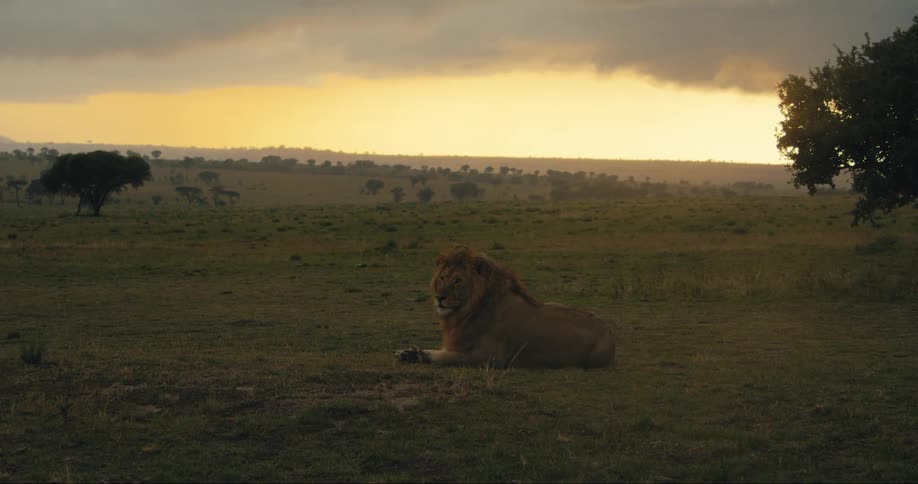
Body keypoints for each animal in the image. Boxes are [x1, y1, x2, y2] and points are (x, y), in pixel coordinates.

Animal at [395, 246, 615, 368]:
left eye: (458, 281)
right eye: (442, 278)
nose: (439, 297)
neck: (469, 310)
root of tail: (609, 331)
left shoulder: (491, 358)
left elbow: (452, 357)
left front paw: (419, 355)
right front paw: (410, 353)